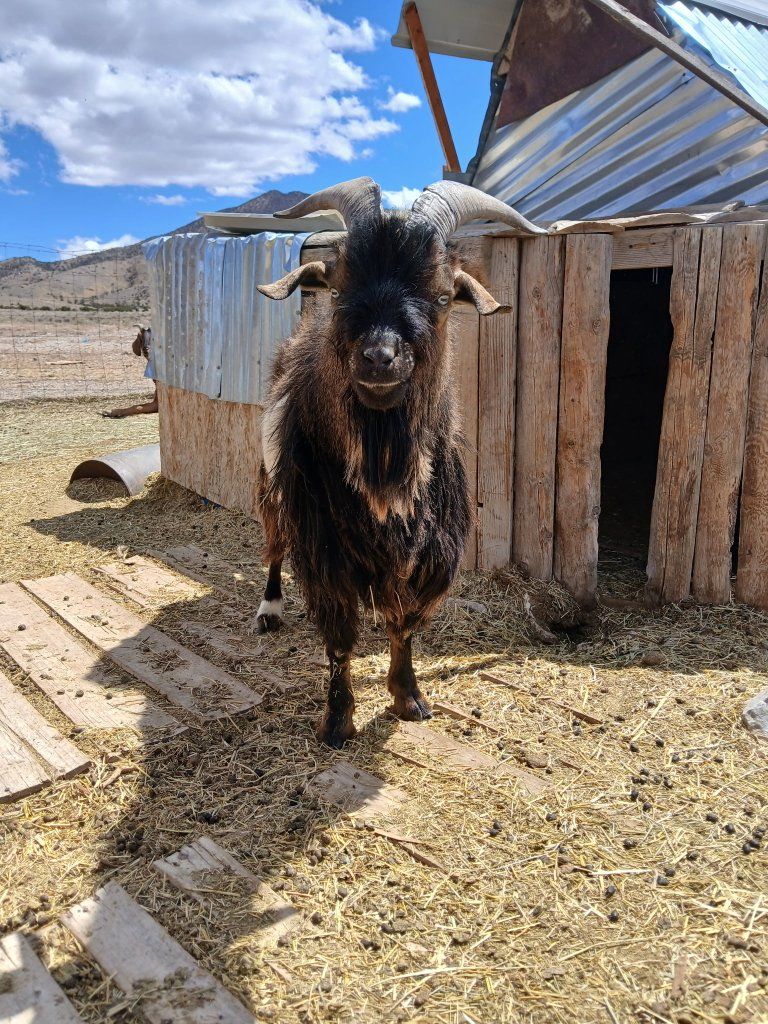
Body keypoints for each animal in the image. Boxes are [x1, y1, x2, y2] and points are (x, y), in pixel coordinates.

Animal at [256, 177, 543, 747]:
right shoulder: (325, 546)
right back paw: (270, 609)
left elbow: (404, 623)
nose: (379, 357)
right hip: (271, 484)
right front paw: (338, 721)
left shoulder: (427, 546)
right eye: (339, 290)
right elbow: (340, 638)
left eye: (441, 296)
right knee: (274, 543)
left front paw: (408, 696)